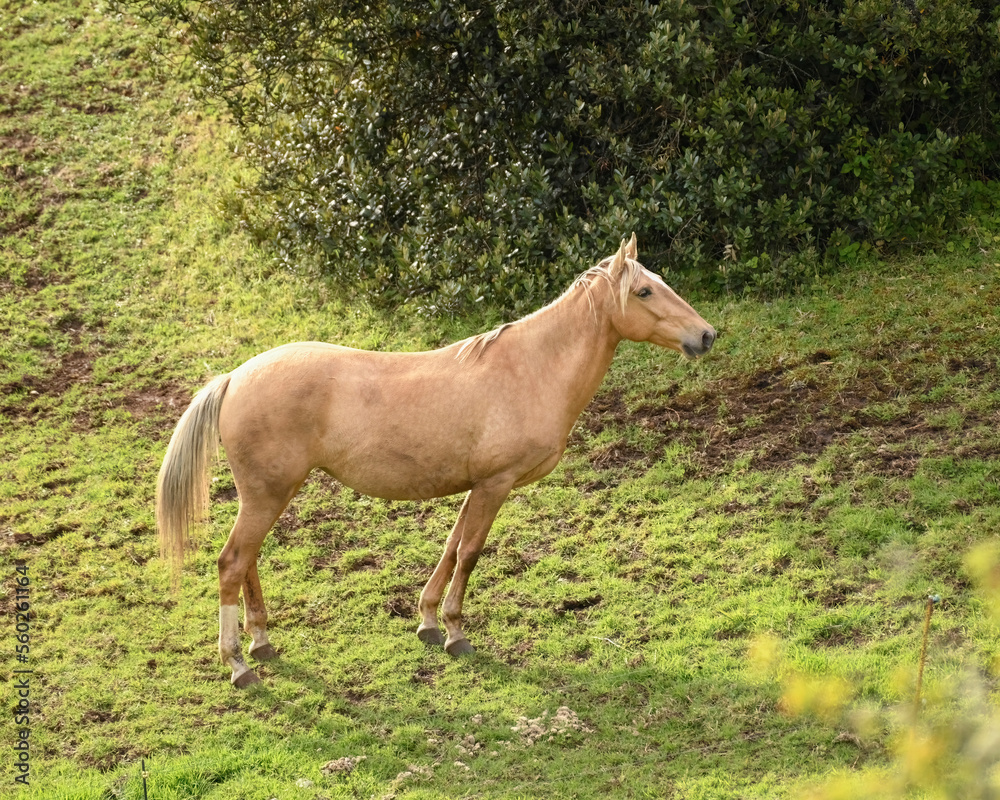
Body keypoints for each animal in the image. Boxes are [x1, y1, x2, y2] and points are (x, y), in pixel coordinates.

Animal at [156, 234, 715, 687]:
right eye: (643, 292)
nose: (706, 335)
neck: (530, 369)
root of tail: (234, 377)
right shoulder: (494, 484)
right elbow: (469, 554)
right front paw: (455, 633)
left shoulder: (475, 485)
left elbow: (449, 547)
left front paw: (426, 621)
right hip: (267, 495)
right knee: (232, 562)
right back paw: (238, 664)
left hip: (268, 494)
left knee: (246, 561)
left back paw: (262, 642)